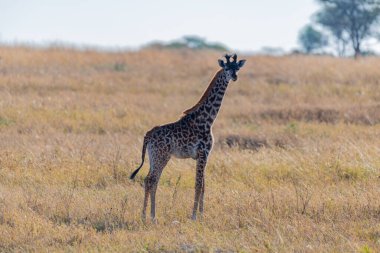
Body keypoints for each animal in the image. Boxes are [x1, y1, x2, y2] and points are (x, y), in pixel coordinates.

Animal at [131, 53, 246, 221]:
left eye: (237, 68)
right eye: (226, 68)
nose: (234, 76)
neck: (207, 119)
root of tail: (148, 135)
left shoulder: (204, 156)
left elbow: (203, 185)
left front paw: (202, 215)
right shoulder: (202, 153)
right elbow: (198, 185)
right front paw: (194, 216)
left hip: (153, 156)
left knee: (147, 179)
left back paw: (145, 216)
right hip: (162, 156)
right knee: (153, 180)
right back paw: (152, 217)